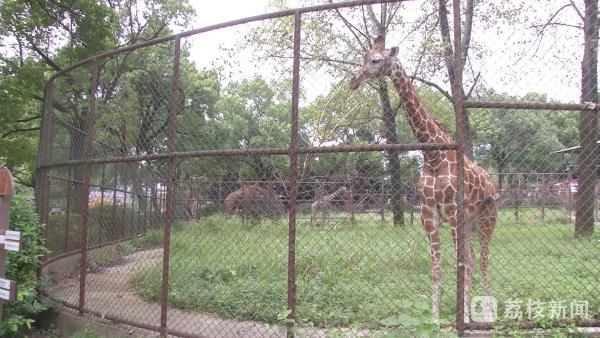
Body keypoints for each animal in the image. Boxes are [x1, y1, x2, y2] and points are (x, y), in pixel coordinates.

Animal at [346, 35, 496, 322]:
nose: (353, 81)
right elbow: (437, 268)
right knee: (473, 258)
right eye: (363, 56)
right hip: (469, 221)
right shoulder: (429, 214)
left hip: (487, 218)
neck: (434, 157)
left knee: (482, 259)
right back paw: (470, 314)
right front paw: (435, 319)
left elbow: (459, 264)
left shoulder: (453, 212)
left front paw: (459, 318)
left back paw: (486, 315)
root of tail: (492, 182)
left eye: (377, 59)